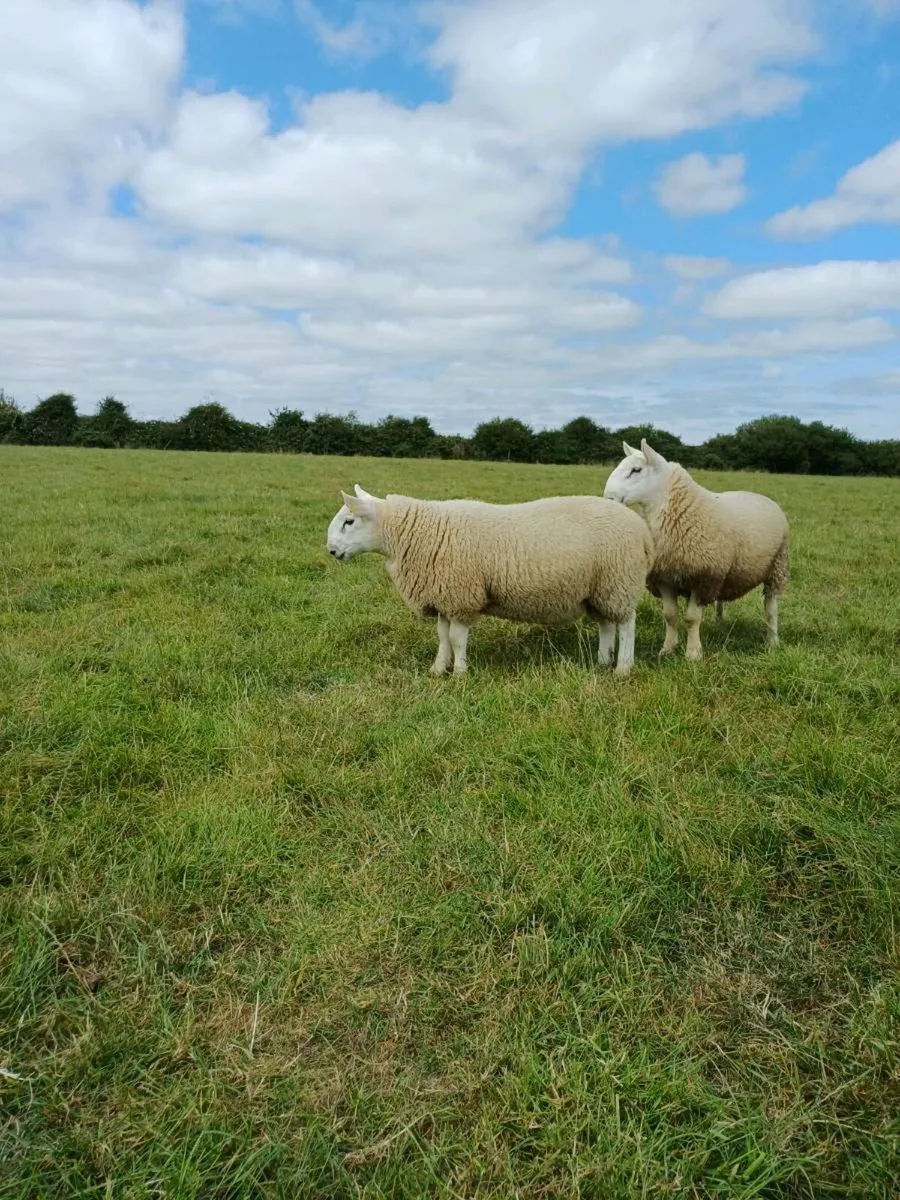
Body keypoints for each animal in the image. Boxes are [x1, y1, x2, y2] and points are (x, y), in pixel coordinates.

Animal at [326, 484, 655, 677]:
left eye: (349, 521)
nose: (331, 551)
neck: (415, 533)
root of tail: (643, 531)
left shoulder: (461, 596)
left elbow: (457, 639)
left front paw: (460, 673)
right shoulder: (444, 597)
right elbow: (442, 638)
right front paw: (438, 669)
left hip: (619, 581)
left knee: (627, 626)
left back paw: (623, 668)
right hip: (601, 589)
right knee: (607, 625)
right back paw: (602, 660)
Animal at [603, 439, 789, 661]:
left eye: (636, 470)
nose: (608, 498)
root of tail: (763, 497)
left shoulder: (703, 577)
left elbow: (691, 618)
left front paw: (693, 654)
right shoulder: (664, 577)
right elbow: (670, 616)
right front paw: (667, 649)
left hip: (777, 566)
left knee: (771, 607)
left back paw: (772, 641)